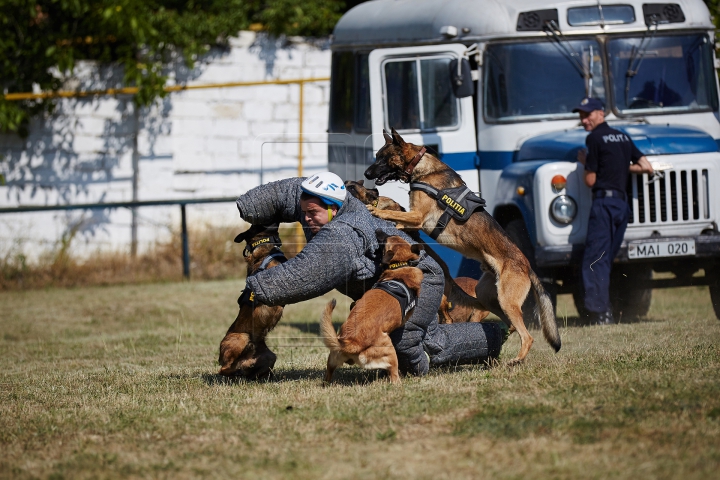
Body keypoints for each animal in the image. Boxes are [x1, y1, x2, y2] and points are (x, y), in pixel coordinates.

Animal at [320, 231, 422, 384]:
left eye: (387, 236)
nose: (378, 230)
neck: (399, 266)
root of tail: (352, 342)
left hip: (332, 357)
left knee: (328, 375)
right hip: (390, 350)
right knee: (394, 376)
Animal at [362, 128, 560, 364]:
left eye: (383, 157)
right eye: (376, 156)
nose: (365, 174)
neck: (422, 167)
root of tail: (527, 266)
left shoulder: (417, 216)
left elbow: (394, 214)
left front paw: (375, 210)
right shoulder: (413, 219)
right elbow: (399, 220)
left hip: (507, 300)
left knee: (527, 336)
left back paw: (517, 360)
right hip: (488, 296)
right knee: (510, 325)